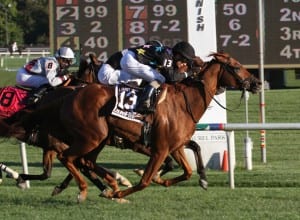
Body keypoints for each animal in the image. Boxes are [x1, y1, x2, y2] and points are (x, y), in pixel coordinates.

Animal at [11, 52, 260, 201]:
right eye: (236, 67)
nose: (257, 83)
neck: (184, 101)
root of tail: (69, 95)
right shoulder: (158, 148)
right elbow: (145, 180)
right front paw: (121, 191)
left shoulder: (174, 146)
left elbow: (187, 168)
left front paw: (198, 179)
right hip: (90, 138)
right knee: (70, 159)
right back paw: (89, 189)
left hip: (95, 139)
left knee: (83, 161)